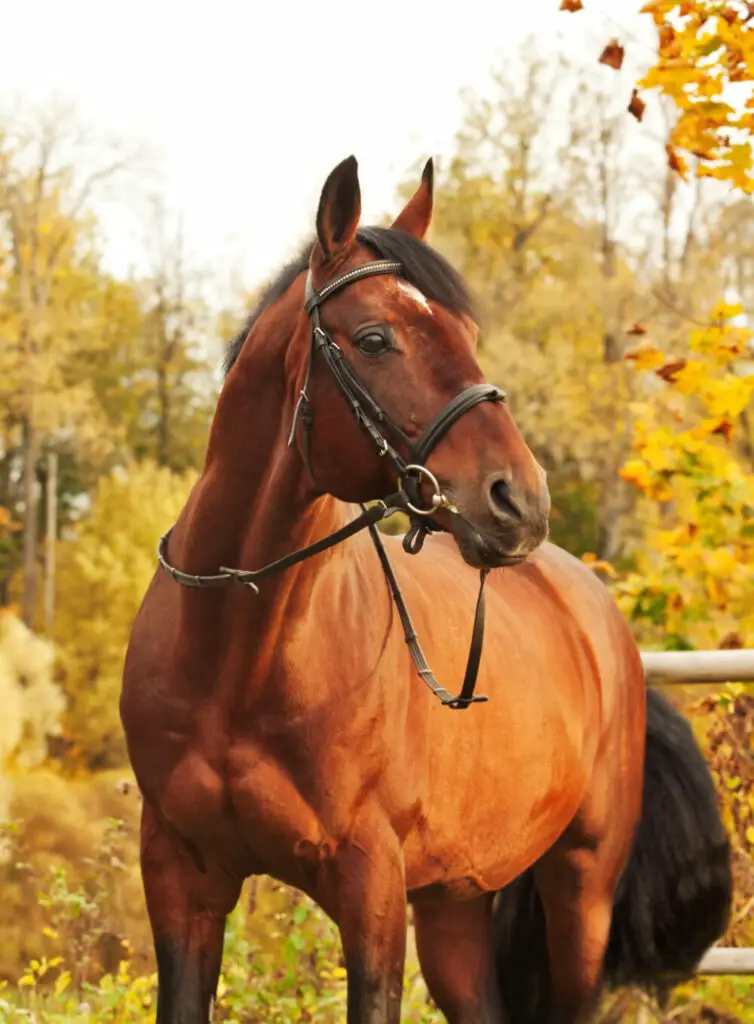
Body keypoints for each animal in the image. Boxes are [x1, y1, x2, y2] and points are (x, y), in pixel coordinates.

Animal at [120, 153, 733, 1024]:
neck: (236, 658)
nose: (519, 499)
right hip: (456, 906)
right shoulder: (180, 879)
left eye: (467, 336)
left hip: (581, 892)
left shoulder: (370, 888)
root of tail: (602, 622)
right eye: (376, 339)